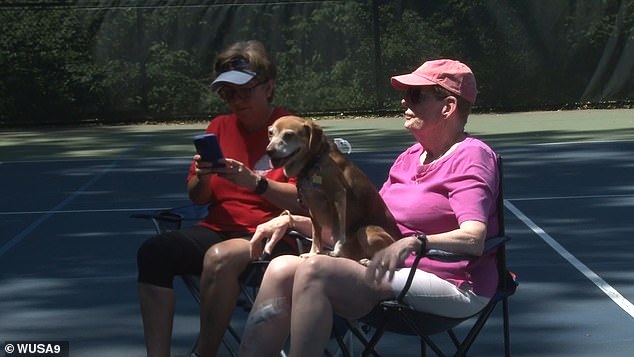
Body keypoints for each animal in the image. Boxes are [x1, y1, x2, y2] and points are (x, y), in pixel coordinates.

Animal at [264, 115, 398, 260]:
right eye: (270, 133)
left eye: (288, 135)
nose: (269, 151)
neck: (313, 162)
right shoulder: (312, 207)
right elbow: (316, 235)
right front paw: (313, 253)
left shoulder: (338, 196)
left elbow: (338, 232)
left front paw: (336, 251)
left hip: (365, 231)